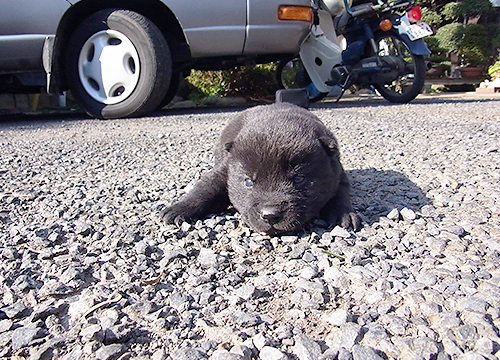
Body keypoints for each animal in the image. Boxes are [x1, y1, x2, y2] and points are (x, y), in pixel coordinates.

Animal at [162, 102, 362, 235]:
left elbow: (340, 193)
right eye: (248, 182)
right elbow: (205, 189)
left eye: (299, 178)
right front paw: (179, 208)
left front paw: (343, 214)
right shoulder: (224, 170)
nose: (270, 215)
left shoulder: (337, 172)